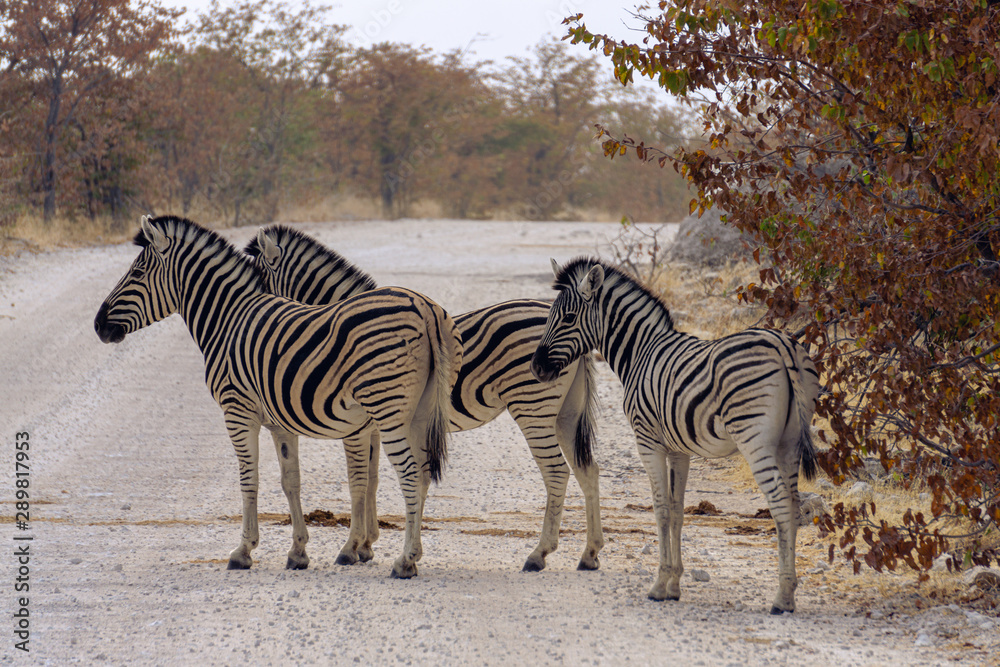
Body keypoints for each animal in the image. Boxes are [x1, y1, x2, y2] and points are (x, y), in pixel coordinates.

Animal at [94, 215, 463, 579]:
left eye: (137, 273)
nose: (98, 325)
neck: (228, 319)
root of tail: (425, 307)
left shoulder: (238, 412)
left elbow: (250, 479)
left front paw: (243, 551)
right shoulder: (281, 423)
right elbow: (291, 481)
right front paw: (299, 552)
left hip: (389, 411)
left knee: (410, 474)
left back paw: (405, 561)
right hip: (421, 413)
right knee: (424, 473)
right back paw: (410, 555)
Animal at [243, 224, 605, 572]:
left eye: (259, 281)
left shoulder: (362, 423)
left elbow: (359, 481)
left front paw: (352, 547)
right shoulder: (376, 423)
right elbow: (373, 479)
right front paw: (368, 545)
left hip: (533, 406)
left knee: (557, 472)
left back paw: (538, 555)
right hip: (566, 411)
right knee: (587, 470)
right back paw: (589, 554)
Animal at [530, 257, 819, 614]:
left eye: (568, 318)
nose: (536, 368)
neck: (640, 352)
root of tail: (783, 345)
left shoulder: (647, 441)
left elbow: (661, 508)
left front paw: (659, 584)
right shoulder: (679, 449)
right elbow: (679, 509)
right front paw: (675, 584)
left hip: (755, 439)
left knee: (779, 502)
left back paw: (782, 597)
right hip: (789, 443)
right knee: (793, 502)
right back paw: (790, 593)